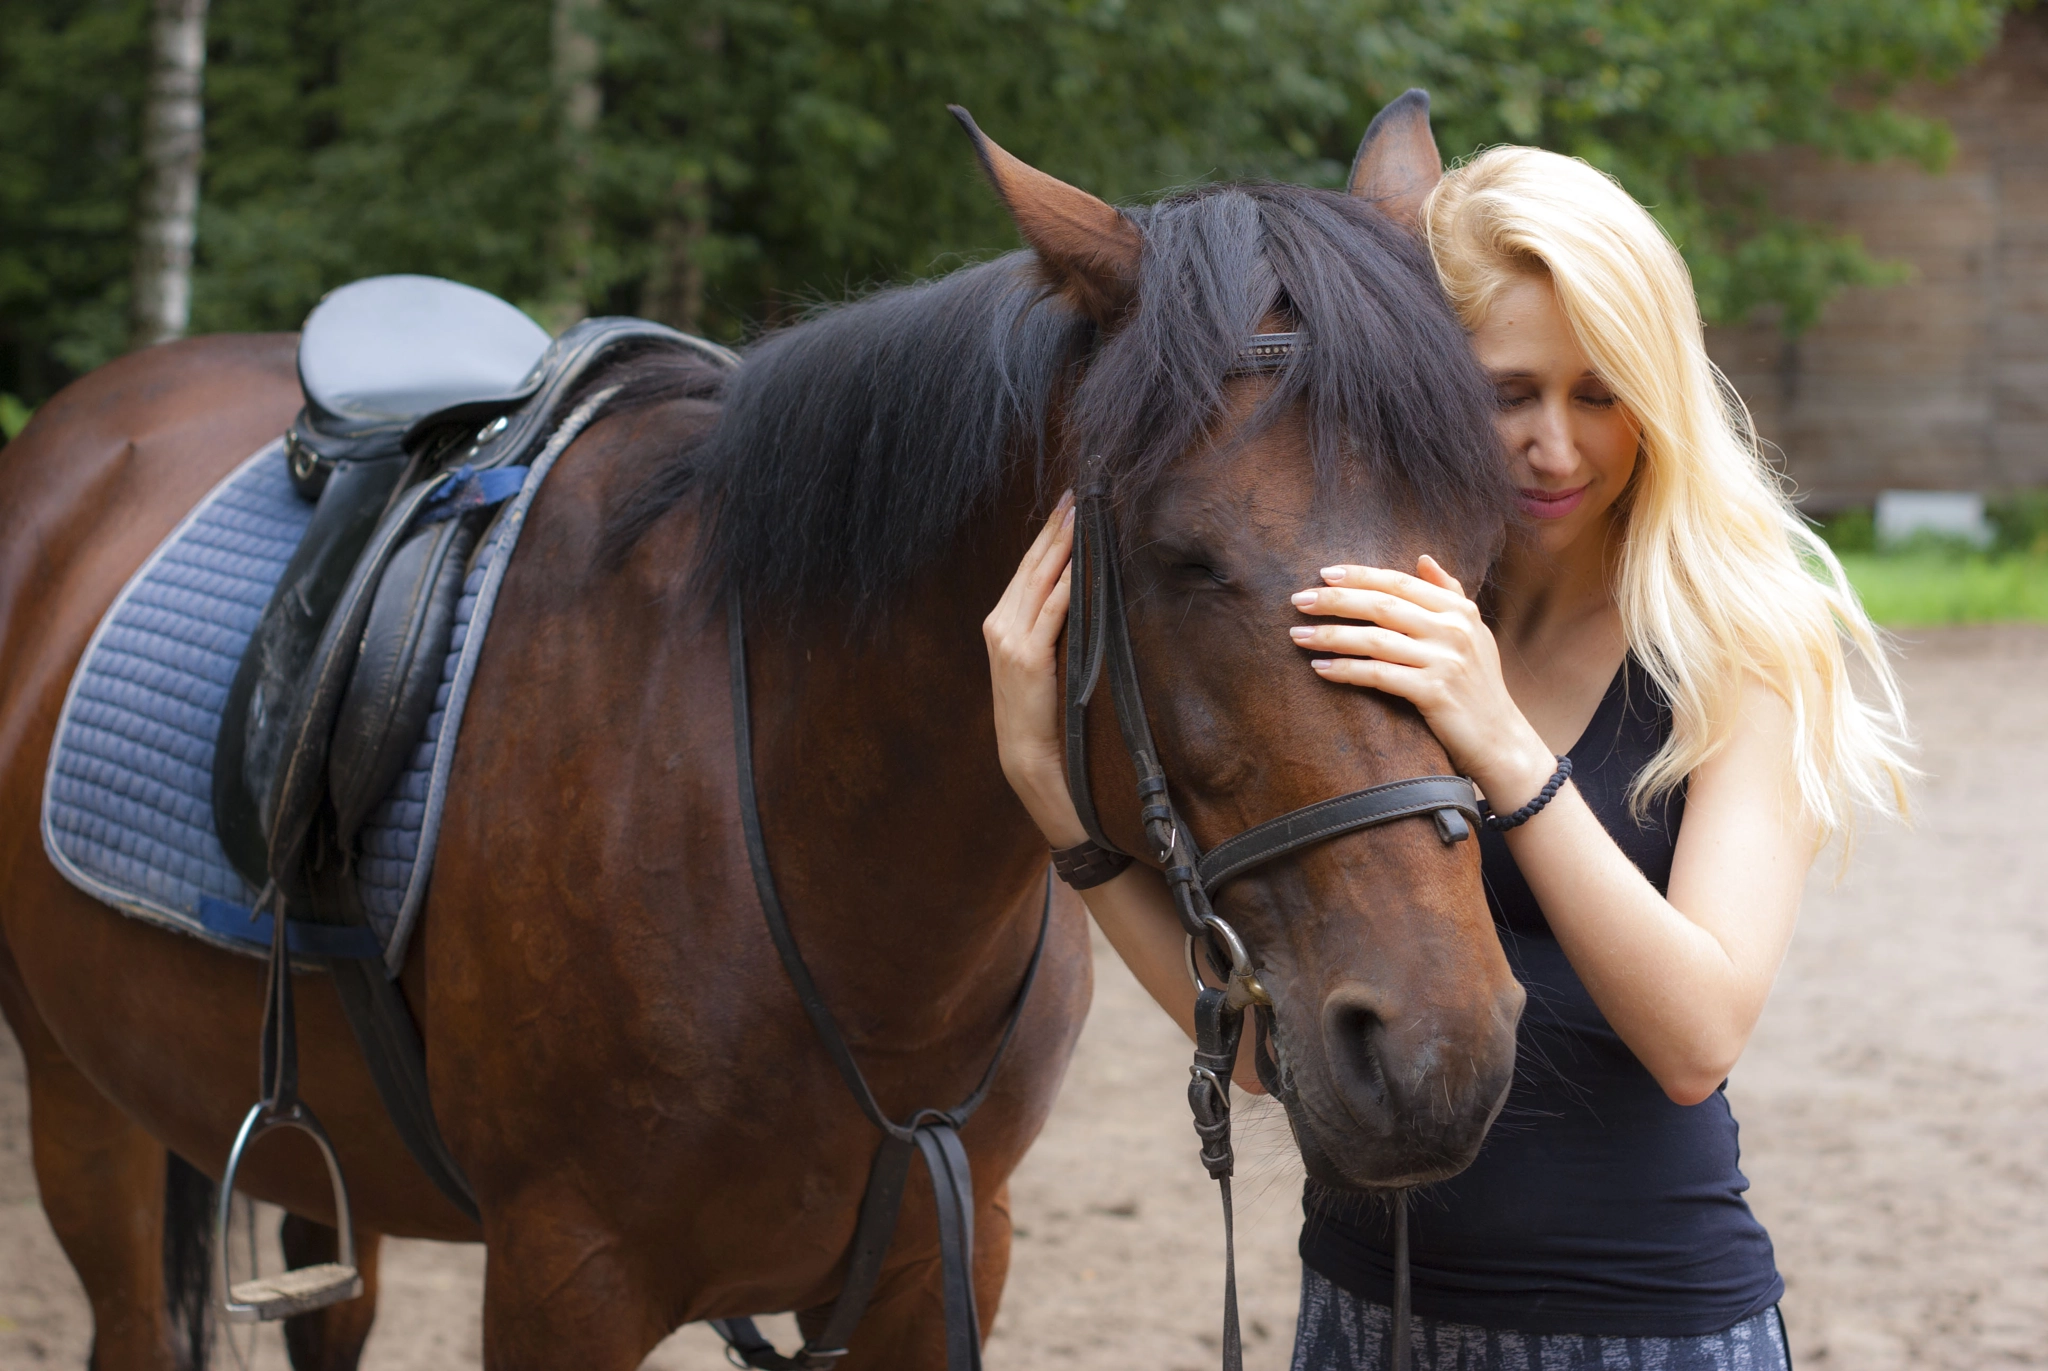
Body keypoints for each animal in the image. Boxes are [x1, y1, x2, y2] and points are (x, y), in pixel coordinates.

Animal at [0, 98, 1523, 1368]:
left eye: (1473, 548)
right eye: (1180, 557)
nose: (1435, 1055)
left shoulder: (944, 1256)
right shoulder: (560, 1281)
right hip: (78, 1095)